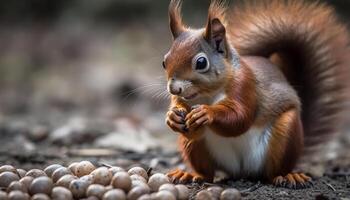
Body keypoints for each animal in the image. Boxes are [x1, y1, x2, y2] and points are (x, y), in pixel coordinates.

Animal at [163, 0, 348, 188]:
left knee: (274, 171)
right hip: (196, 149)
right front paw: (172, 117)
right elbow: (187, 122)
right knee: (207, 173)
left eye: (201, 63)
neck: (207, 94)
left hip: (286, 133)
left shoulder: (245, 86)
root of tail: (242, 171)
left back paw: (287, 176)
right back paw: (191, 174)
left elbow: (240, 118)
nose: (174, 89)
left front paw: (207, 112)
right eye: (165, 61)